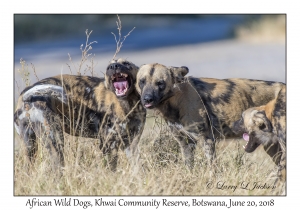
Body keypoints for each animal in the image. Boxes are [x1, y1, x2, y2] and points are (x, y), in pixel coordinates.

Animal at [13, 58, 147, 170]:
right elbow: (111, 170)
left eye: (126, 63)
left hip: (30, 147)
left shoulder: (131, 145)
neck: (129, 105)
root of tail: (26, 96)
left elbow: (137, 170)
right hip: (55, 141)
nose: (113, 66)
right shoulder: (109, 145)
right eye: (108, 66)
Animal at [136, 63, 286, 170]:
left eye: (160, 83)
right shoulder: (185, 143)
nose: (147, 99)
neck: (176, 100)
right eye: (142, 82)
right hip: (271, 146)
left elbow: (212, 169)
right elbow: (189, 168)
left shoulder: (206, 140)